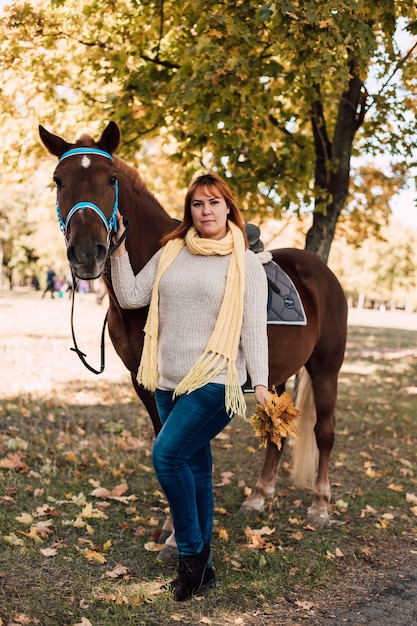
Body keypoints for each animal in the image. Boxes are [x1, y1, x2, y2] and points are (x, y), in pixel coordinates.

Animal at [39, 120, 348, 536]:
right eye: (58, 181)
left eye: (111, 179)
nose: (88, 253)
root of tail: (321, 271)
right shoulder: (145, 381)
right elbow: (165, 440)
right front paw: (175, 522)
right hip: (275, 374)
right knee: (277, 432)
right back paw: (259, 496)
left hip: (326, 368)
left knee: (324, 432)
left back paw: (319, 505)